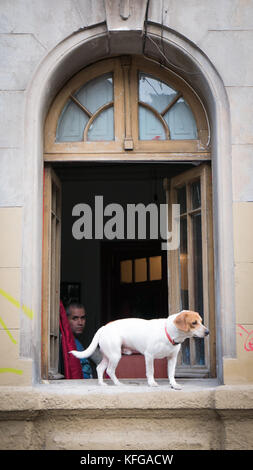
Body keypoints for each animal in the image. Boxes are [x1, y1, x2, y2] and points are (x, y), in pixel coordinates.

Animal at [69, 308, 210, 390]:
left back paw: (101, 383)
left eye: (201, 321)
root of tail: (104, 327)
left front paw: (173, 384)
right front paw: (152, 383)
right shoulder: (149, 356)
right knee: (109, 370)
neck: (168, 332)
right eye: (194, 323)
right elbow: (151, 371)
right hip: (115, 356)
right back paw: (118, 383)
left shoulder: (172, 358)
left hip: (108, 356)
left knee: (99, 368)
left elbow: (171, 373)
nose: (208, 332)